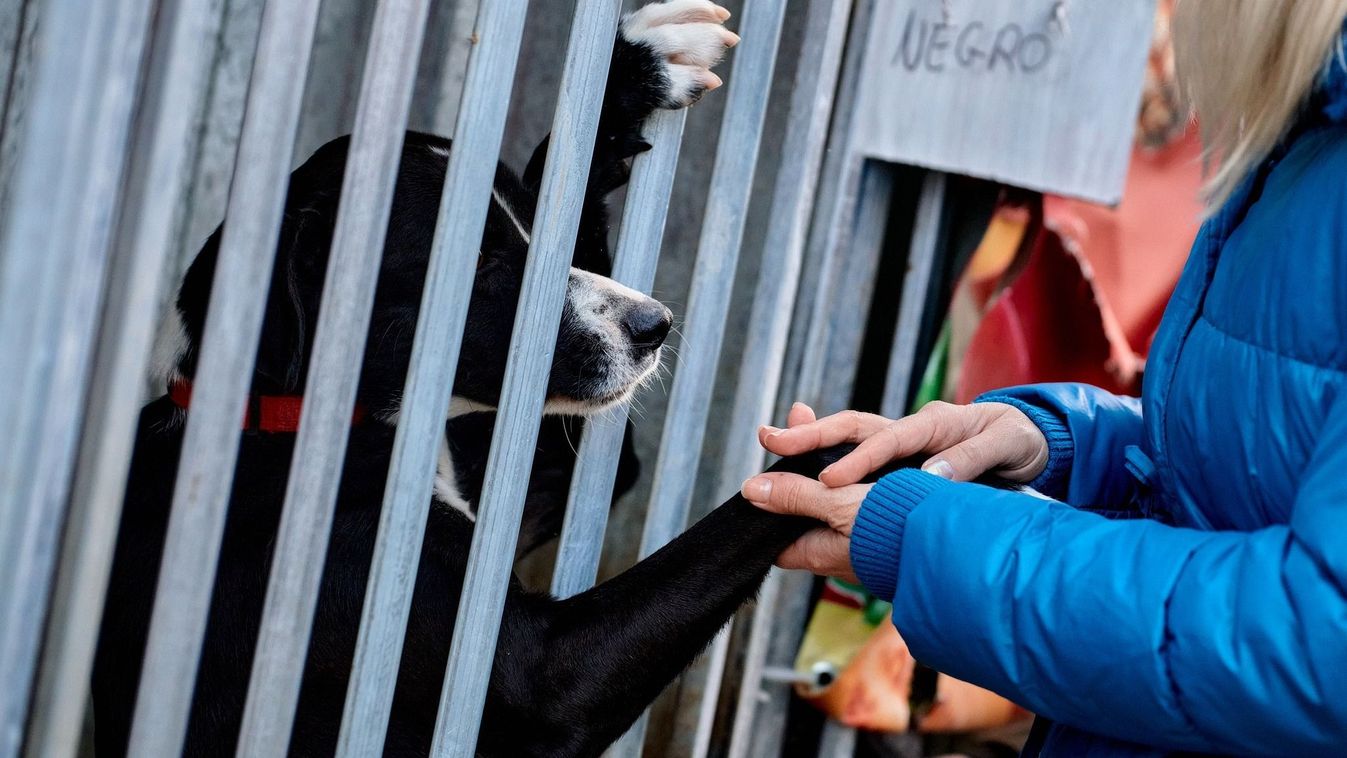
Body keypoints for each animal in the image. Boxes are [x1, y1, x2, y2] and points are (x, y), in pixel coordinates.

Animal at [94, 2, 851, 753]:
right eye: (476, 260)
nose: (655, 325)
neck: (283, 425)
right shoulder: (535, 676)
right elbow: (734, 522)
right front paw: (857, 455)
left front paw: (635, 64)